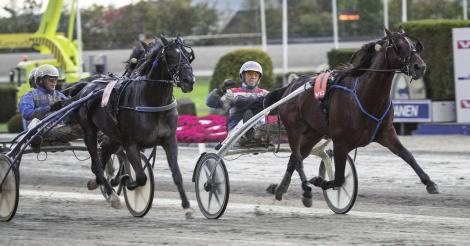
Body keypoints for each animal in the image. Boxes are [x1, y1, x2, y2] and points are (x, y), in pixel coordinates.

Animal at [75, 35, 196, 217]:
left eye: (188, 56)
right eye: (171, 56)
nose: (189, 80)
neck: (151, 101)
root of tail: (87, 86)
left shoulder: (169, 141)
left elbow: (176, 174)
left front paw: (187, 206)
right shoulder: (131, 143)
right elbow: (140, 177)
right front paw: (126, 181)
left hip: (113, 137)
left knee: (101, 159)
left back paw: (97, 183)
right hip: (89, 131)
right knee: (96, 163)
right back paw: (112, 195)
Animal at [266, 27, 438, 207]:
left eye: (415, 46)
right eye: (398, 46)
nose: (420, 67)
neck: (366, 97)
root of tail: (290, 86)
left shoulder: (386, 133)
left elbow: (408, 155)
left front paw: (429, 183)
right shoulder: (340, 143)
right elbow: (339, 179)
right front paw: (318, 181)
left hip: (313, 133)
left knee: (295, 157)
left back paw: (280, 189)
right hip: (293, 129)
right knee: (298, 158)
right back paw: (306, 190)